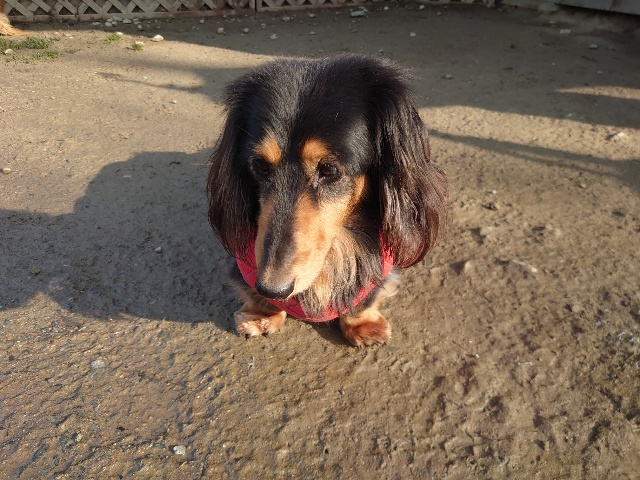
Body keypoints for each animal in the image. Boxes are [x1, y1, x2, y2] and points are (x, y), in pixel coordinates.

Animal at [207, 54, 448, 346]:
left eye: (329, 169)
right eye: (260, 166)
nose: (271, 289)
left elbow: (367, 292)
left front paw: (363, 323)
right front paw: (262, 313)